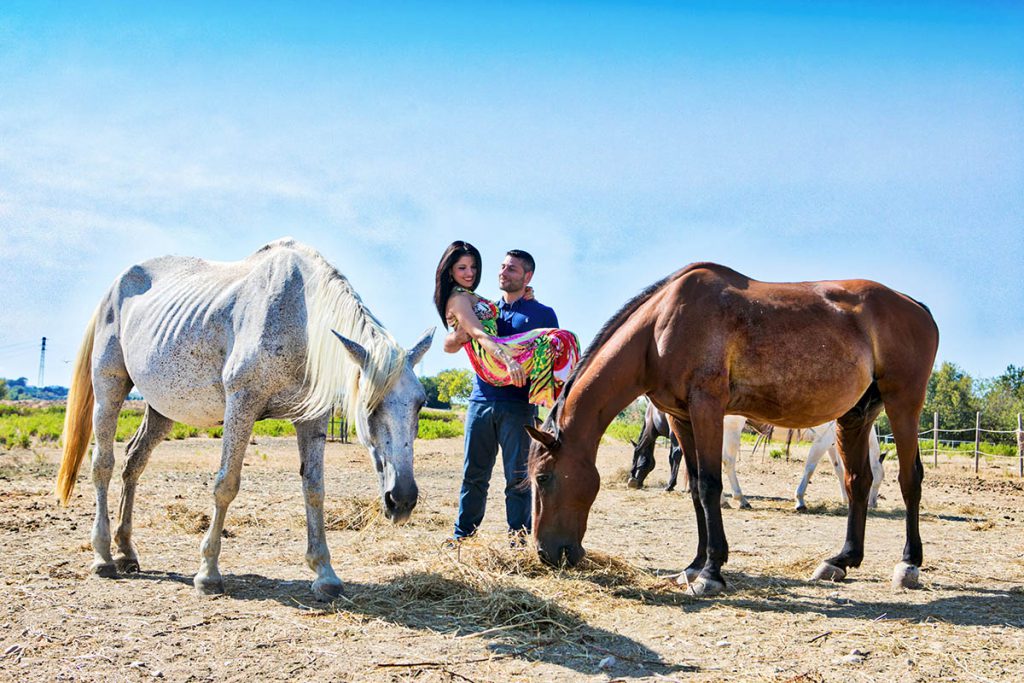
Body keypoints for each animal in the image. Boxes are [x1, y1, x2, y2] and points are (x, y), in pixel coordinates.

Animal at [56, 237, 432, 602]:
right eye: (369, 406)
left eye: (420, 404)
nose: (402, 500)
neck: (299, 316)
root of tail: (114, 288)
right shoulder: (241, 405)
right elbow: (226, 485)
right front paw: (208, 574)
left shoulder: (312, 418)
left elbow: (314, 489)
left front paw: (325, 575)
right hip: (109, 388)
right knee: (103, 464)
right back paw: (103, 557)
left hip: (162, 409)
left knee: (133, 461)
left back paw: (126, 551)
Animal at [528, 264, 937, 593]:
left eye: (543, 478)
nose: (547, 553)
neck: (660, 328)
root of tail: (916, 305)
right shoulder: (681, 418)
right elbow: (695, 487)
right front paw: (693, 566)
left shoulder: (707, 408)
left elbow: (710, 485)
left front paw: (710, 572)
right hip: (855, 415)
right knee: (858, 481)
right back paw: (842, 560)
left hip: (903, 403)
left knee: (909, 478)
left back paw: (908, 564)